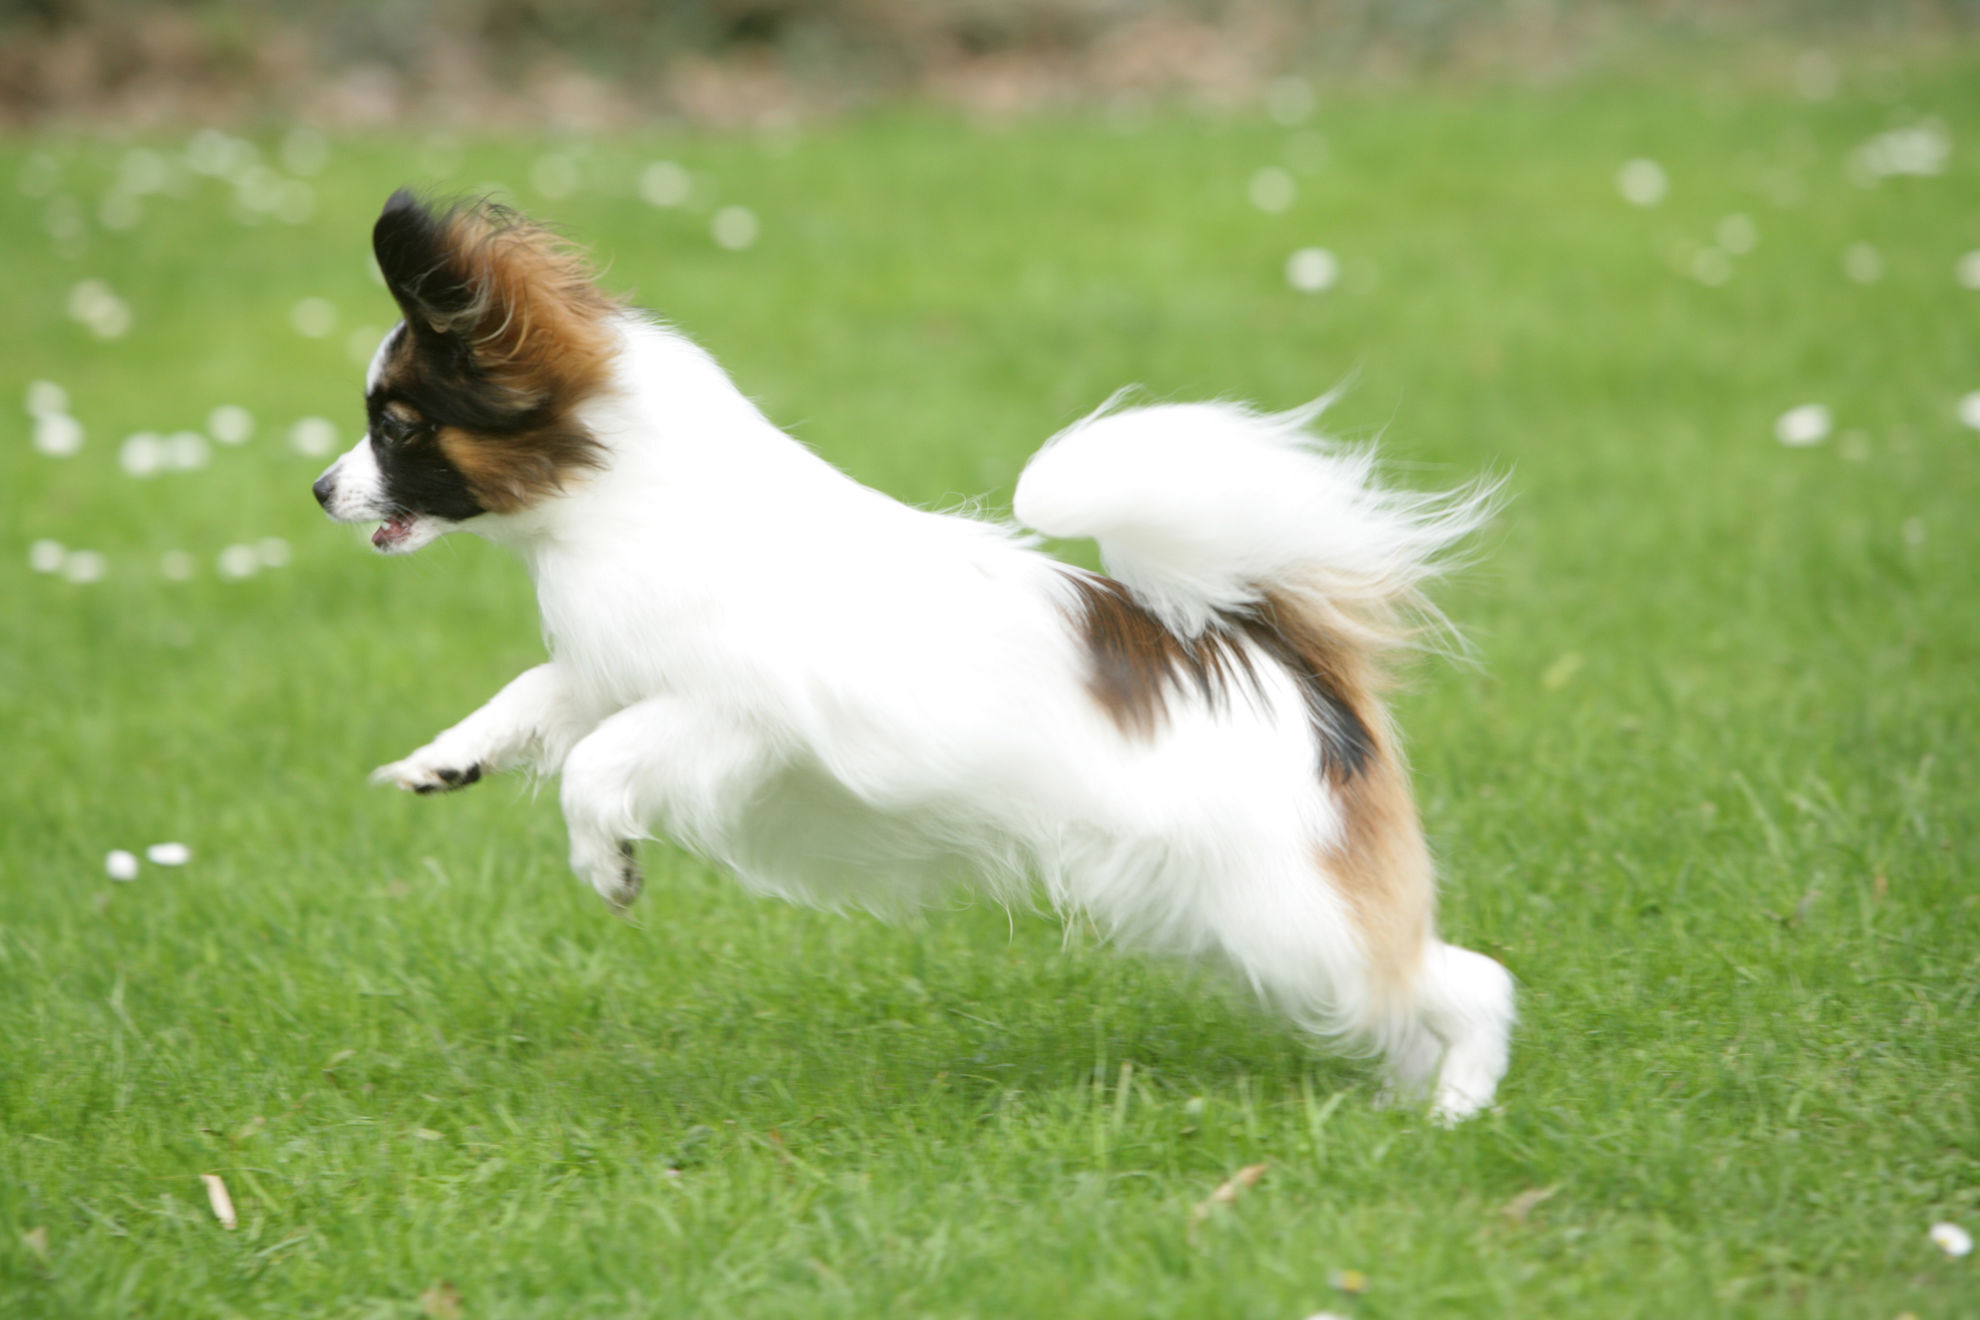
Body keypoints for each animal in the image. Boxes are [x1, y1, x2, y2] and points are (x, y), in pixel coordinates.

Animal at [312, 190, 1512, 1124]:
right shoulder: (614, 669)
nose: (319, 490)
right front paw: (444, 762)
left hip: (1288, 915)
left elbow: (597, 765)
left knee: (1464, 983)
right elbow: (532, 698)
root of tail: (1289, 667)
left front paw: (609, 865)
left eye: (398, 427)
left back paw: (1456, 1108)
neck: (625, 498)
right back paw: (1402, 1098)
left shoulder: (725, 718)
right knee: (1398, 1000)